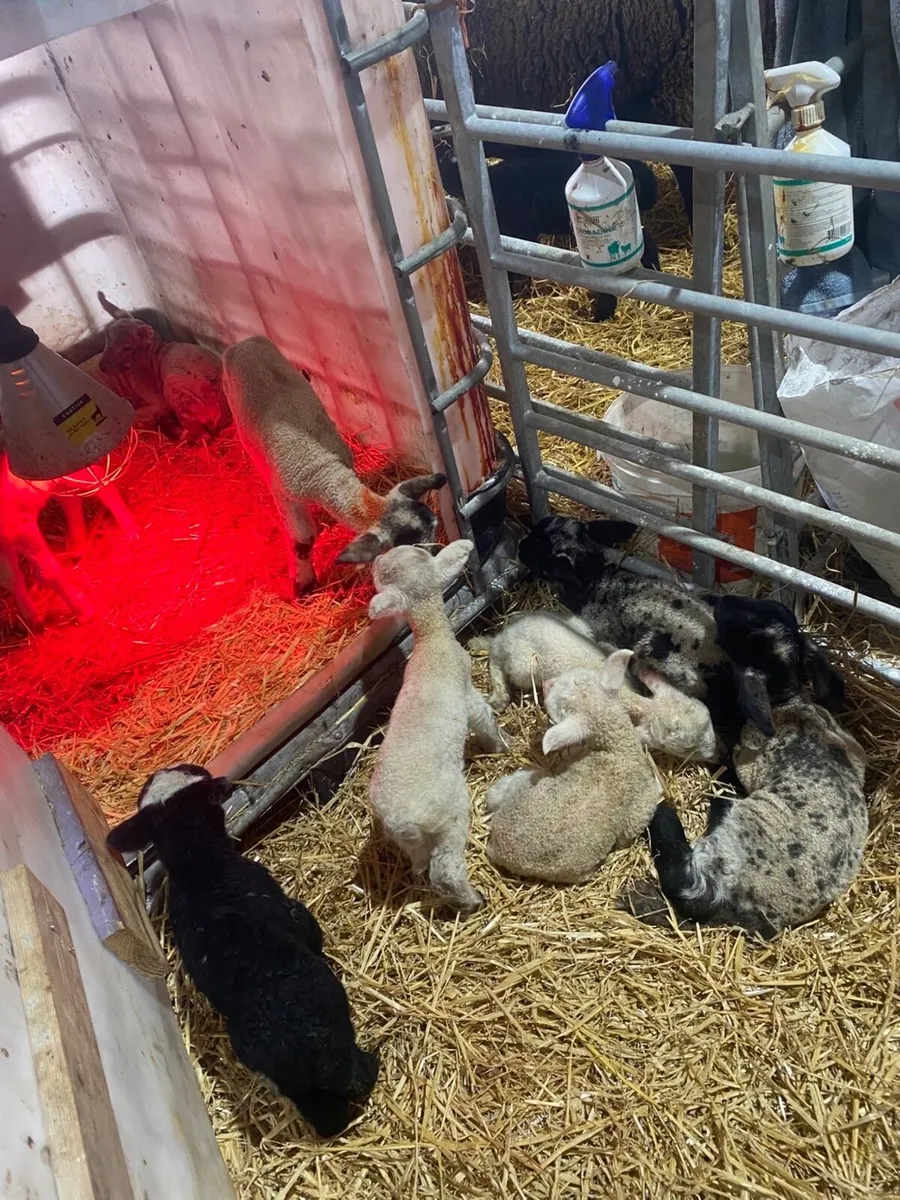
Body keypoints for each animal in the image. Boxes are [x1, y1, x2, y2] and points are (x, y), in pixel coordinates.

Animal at [97, 292, 230, 443]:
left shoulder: (158, 402)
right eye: (106, 339)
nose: (102, 366)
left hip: (174, 387)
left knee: (203, 436)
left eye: (126, 347)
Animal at [106, 764, 378, 1137]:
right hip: (336, 1045)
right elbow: (310, 930)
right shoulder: (292, 912)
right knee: (352, 1083)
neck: (199, 864)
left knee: (325, 1118)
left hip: (298, 1087)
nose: (210, 772)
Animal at [221, 336, 447, 595]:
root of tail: (245, 342)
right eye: (413, 552)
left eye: (436, 526)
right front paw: (304, 583)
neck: (320, 466)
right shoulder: (286, 493)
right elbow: (303, 541)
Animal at [367, 539, 504, 914]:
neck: (430, 638)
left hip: (411, 840)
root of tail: (402, 820)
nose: (375, 560)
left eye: (386, 571)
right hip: (450, 815)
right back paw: (471, 901)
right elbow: (482, 718)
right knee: (445, 870)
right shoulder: (466, 689)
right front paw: (502, 744)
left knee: (420, 864)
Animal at [470, 609, 719, 760]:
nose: (716, 754)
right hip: (522, 665)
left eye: (709, 719)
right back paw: (498, 694)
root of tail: (508, 630)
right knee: (496, 659)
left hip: (578, 625)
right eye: (687, 750)